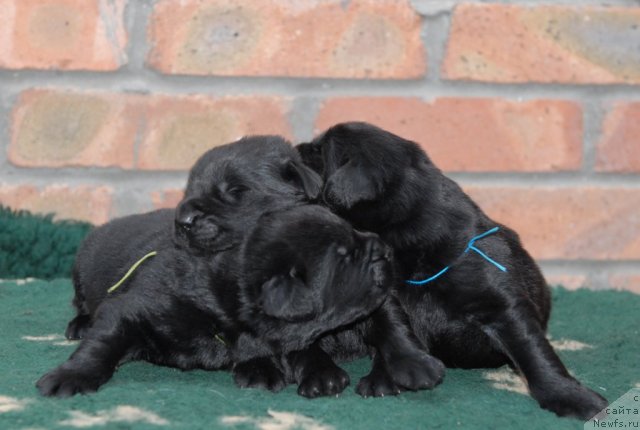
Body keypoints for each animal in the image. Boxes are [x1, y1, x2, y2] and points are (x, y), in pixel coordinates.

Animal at [298, 122, 608, 420]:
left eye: (318, 150)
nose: (297, 147)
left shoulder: (501, 304)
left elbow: (534, 353)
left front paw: (572, 397)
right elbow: (392, 331)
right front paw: (387, 376)